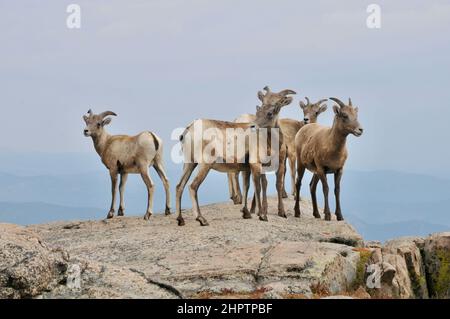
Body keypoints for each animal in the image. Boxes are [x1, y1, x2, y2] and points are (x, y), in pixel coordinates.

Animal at [176, 87, 296, 226]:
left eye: (270, 112)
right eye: (259, 110)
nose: (253, 126)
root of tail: (189, 129)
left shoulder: (265, 167)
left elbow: (255, 186)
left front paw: (250, 213)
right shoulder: (256, 165)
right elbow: (259, 187)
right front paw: (262, 215)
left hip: (189, 163)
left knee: (179, 186)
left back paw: (180, 220)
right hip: (204, 165)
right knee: (192, 186)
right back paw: (202, 219)